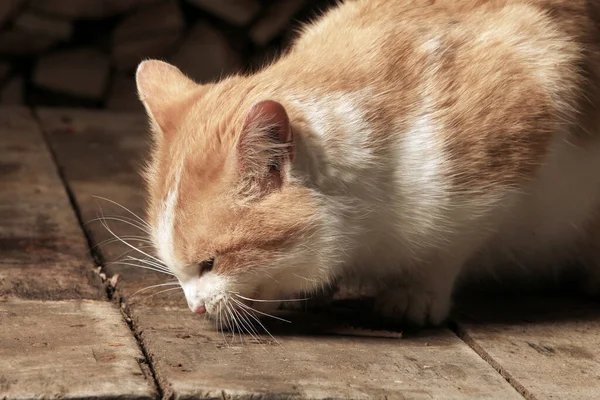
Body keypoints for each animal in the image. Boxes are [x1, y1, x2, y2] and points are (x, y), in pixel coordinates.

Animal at [134, 0, 600, 324]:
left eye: (209, 263)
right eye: (175, 268)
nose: (194, 307)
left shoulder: (510, 150)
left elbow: (446, 248)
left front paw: (415, 292)